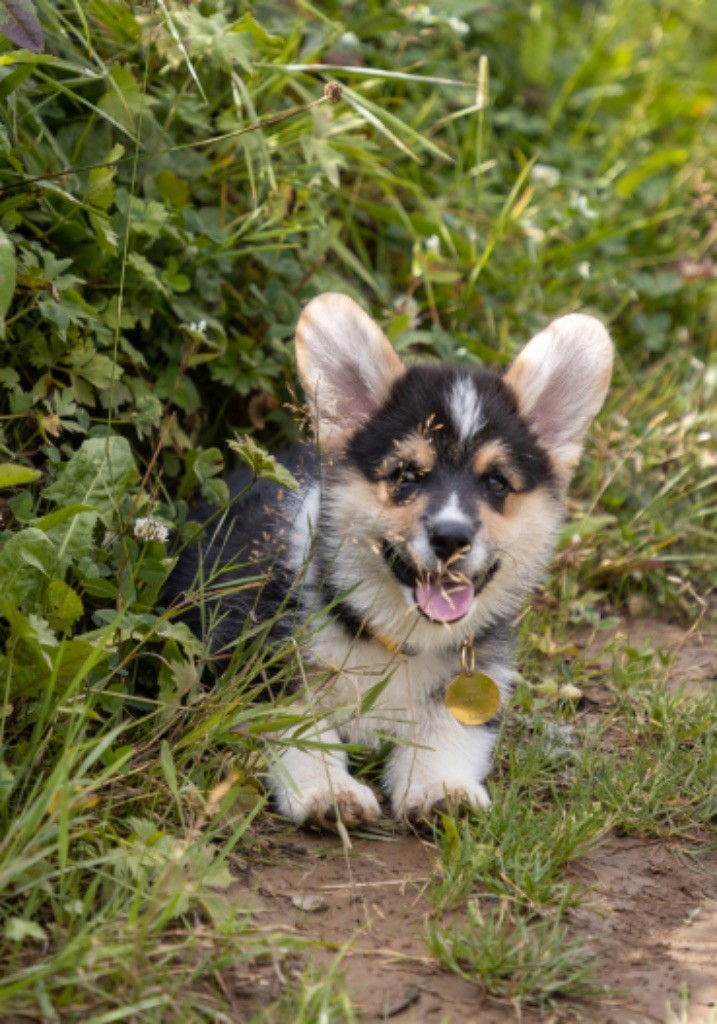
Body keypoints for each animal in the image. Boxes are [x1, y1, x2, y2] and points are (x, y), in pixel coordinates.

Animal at [172, 292, 610, 827]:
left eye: (496, 483)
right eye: (405, 475)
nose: (451, 537)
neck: (396, 639)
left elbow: (450, 734)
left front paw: (441, 787)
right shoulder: (262, 663)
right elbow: (301, 730)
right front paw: (329, 791)